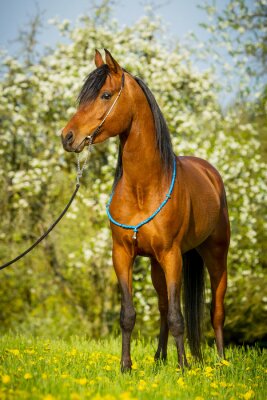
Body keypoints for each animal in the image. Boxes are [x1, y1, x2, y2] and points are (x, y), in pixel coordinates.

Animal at [60, 50, 230, 372]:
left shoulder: (172, 256)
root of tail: (210, 173)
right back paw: (159, 357)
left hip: (215, 256)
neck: (143, 187)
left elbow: (177, 317)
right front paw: (126, 367)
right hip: (155, 264)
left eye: (105, 95)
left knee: (216, 310)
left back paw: (221, 360)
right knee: (163, 307)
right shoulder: (122, 254)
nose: (67, 137)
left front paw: (184, 368)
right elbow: (129, 314)